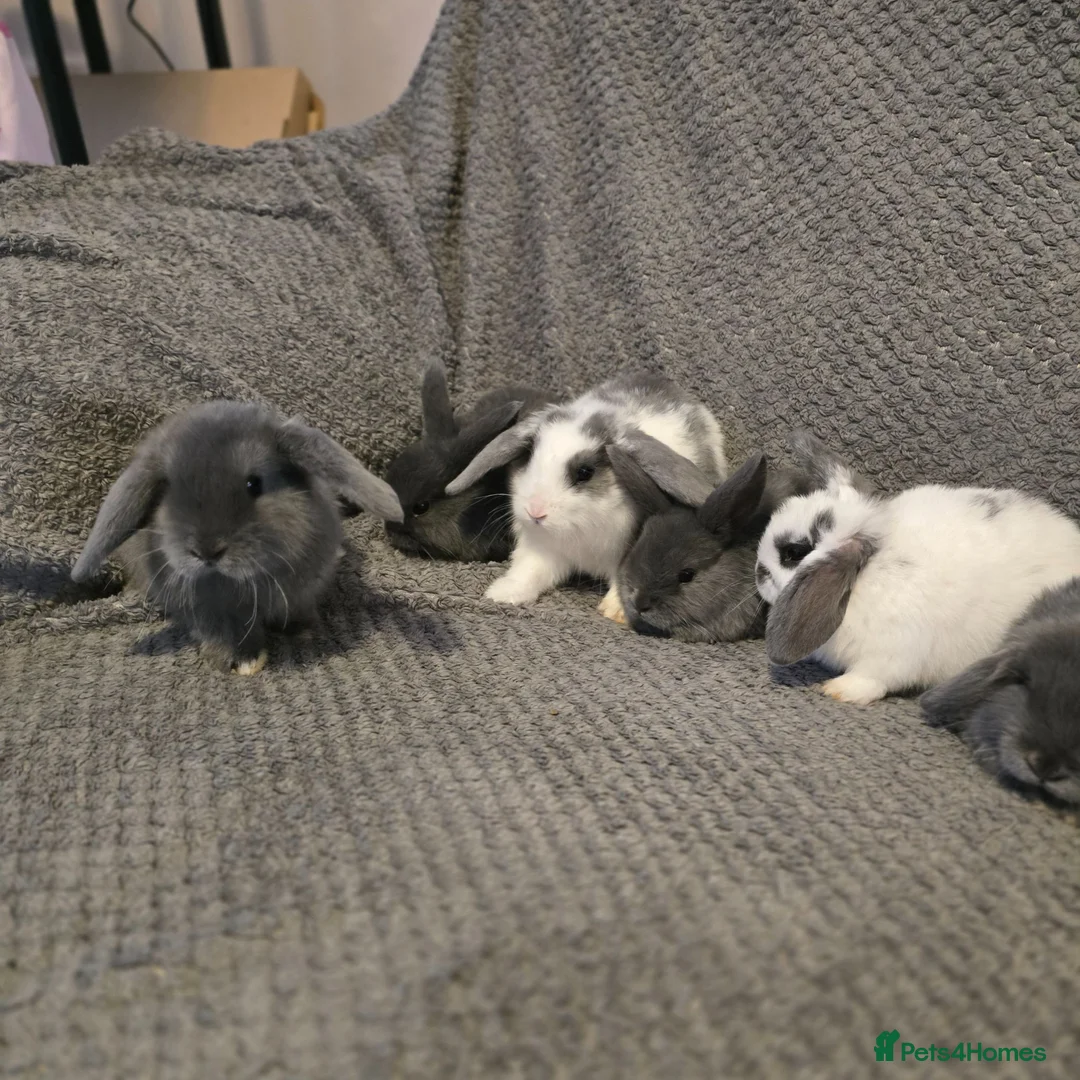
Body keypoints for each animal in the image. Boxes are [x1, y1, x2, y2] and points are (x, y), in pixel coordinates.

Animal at [71, 400, 404, 674]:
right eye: (166, 490)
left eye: (253, 484)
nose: (206, 551)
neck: (242, 580)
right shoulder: (204, 611)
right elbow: (222, 633)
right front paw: (237, 661)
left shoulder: (302, 592)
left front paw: (304, 632)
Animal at [446, 372, 728, 617]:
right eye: (529, 456)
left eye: (585, 472)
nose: (535, 511)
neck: (580, 527)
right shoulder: (542, 549)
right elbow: (529, 571)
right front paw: (502, 593)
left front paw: (615, 611)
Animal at [755, 431, 1080, 704]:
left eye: (793, 552)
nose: (759, 573)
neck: (868, 572)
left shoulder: (892, 653)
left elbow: (872, 678)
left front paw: (839, 690)